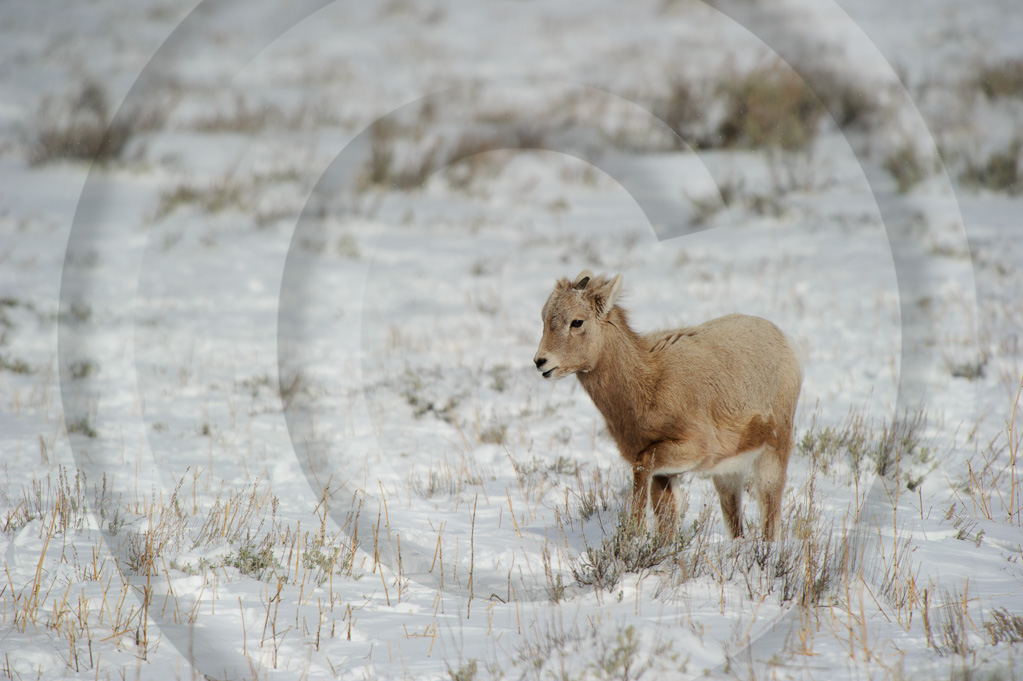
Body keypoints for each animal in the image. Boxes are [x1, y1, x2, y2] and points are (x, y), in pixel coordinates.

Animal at [531, 267, 802, 539]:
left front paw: (636, 531)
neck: (649, 384)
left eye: (577, 321)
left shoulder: (689, 449)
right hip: (727, 474)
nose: (541, 362)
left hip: (771, 456)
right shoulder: (664, 474)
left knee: (770, 521)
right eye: (544, 318)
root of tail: (785, 342)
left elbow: (641, 470)